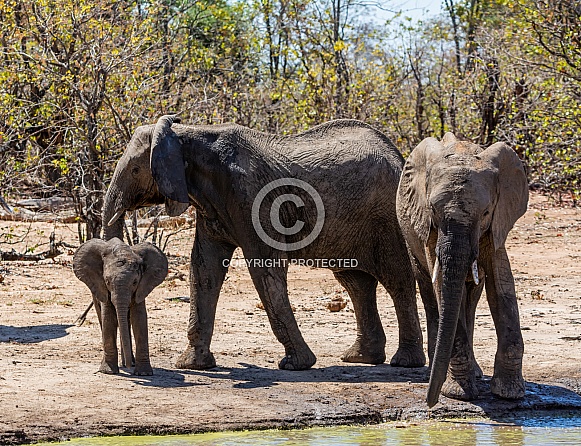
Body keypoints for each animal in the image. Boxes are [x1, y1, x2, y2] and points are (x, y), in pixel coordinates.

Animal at [73, 239, 168, 374]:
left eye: (134, 282)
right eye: (107, 281)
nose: (128, 366)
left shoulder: (142, 287)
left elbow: (139, 318)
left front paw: (143, 373)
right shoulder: (101, 287)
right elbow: (108, 318)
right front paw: (108, 371)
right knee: (103, 319)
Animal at [102, 116, 424, 372]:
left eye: (134, 170)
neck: (186, 135)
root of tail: (398, 156)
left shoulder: (254, 199)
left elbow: (265, 269)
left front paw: (296, 365)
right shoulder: (211, 206)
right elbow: (203, 270)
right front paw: (192, 365)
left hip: (387, 216)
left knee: (397, 278)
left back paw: (404, 363)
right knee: (356, 282)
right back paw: (360, 358)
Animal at [396, 132, 528, 408]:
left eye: (486, 212)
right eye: (433, 210)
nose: (430, 402)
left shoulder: (497, 222)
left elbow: (501, 285)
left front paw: (509, 394)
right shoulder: (428, 226)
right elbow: (441, 287)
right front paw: (458, 394)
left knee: (471, 296)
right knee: (429, 290)